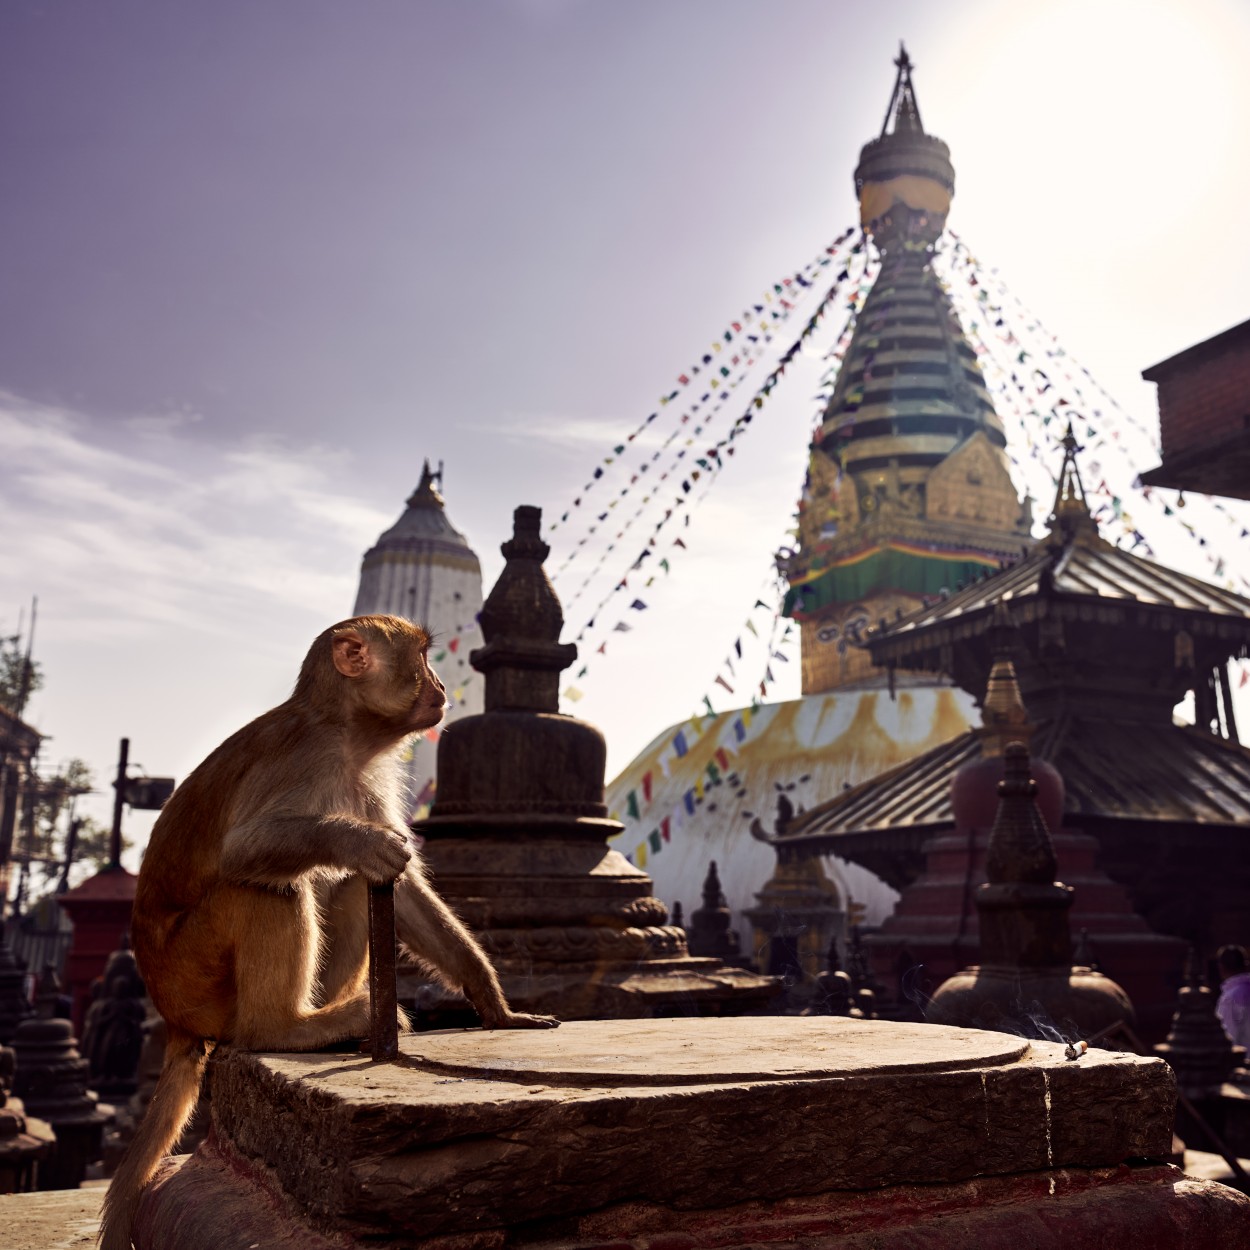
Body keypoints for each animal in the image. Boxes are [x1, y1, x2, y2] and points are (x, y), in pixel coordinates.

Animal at [100, 615, 560, 1250]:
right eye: (423, 658)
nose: (441, 684)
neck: (349, 734)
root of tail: (172, 1016)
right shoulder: (309, 758)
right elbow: (245, 850)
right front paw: (358, 840)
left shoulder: (365, 778)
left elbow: (403, 891)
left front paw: (495, 1005)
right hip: (193, 975)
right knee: (264, 888)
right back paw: (285, 1028)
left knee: (345, 888)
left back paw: (342, 1024)